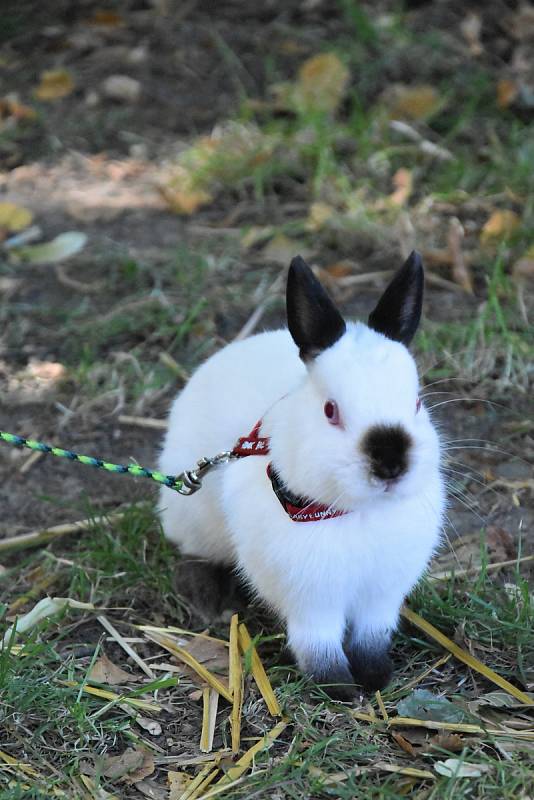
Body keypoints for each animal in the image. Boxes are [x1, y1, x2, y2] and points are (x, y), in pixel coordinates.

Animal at [160, 253, 448, 696]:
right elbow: (318, 644)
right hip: (194, 519)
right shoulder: (311, 601)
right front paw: (340, 687)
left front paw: (376, 676)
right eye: (330, 411)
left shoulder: (381, 596)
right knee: (194, 555)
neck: (356, 512)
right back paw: (213, 601)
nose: (391, 464)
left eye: (416, 402)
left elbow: (372, 637)